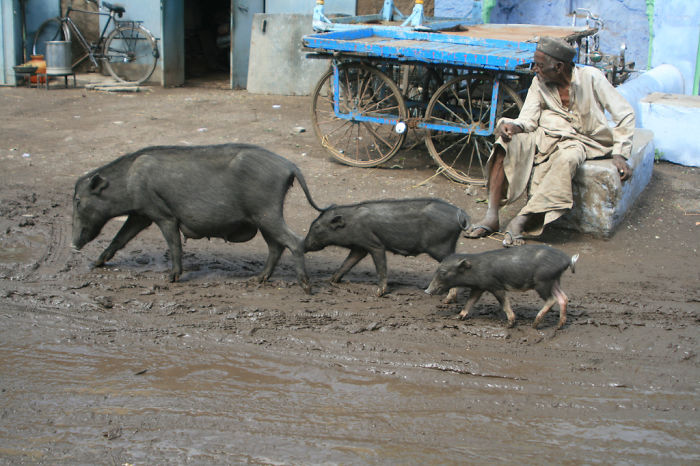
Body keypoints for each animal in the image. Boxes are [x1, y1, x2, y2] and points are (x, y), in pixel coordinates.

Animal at [72, 143, 324, 293]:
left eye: (77, 201)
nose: (73, 245)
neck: (129, 181)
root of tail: (290, 166)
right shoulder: (140, 215)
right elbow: (119, 238)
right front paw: (95, 263)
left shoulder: (162, 214)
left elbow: (174, 243)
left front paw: (171, 279)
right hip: (263, 218)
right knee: (276, 246)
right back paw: (256, 280)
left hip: (267, 212)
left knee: (294, 241)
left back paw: (306, 287)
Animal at [304, 198, 470, 296]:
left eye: (316, 227)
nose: (303, 245)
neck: (351, 223)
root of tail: (461, 214)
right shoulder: (359, 247)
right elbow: (347, 263)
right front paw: (330, 281)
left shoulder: (374, 244)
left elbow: (381, 266)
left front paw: (378, 293)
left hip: (440, 248)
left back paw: (448, 299)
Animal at [425, 245, 578, 329]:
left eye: (443, 272)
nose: (427, 290)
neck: (475, 269)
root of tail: (567, 260)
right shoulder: (479, 287)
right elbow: (470, 301)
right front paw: (458, 317)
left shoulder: (495, 285)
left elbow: (504, 303)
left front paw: (509, 324)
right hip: (554, 280)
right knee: (563, 298)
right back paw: (559, 326)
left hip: (542, 282)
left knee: (552, 299)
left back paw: (534, 325)